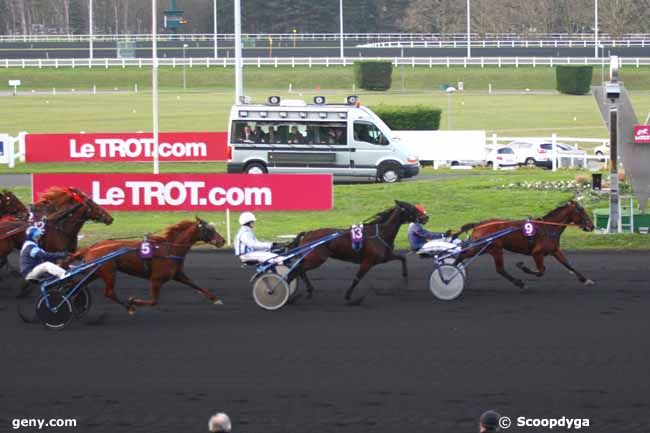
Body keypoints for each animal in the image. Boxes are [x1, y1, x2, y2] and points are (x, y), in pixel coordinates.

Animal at [64, 218, 225, 312]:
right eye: (209, 229)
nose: (222, 241)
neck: (169, 249)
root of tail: (90, 248)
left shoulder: (178, 275)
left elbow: (196, 285)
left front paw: (215, 299)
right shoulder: (156, 279)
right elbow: (153, 301)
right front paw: (133, 300)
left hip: (96, 273)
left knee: (78, 287)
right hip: (109, 272)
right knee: (108, 292)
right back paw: (129, 306)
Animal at [286, 200, 422, 304]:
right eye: (412, 208)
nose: (425, 217)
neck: (381, 234)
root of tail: (308, 233)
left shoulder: (384, 257)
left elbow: (402, 258)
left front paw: (405, 277)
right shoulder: (368, 261)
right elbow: (357, 278)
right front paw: (349, 297)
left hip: (311, 258)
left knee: (300, 269)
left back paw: (308, 290)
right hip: (316, 259)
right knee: (297, 269)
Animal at [450, 201, 592, 288]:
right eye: (581, 211)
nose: (592, 226)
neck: (548, 227)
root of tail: (479, 224)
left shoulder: (555, 250)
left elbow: (568, 264)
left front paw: (585, 280)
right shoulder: (537, 253)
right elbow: (541, 270)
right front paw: (522, 266)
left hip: (484, 248)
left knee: (464, 256)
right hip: (493, 248)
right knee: (498, 268)